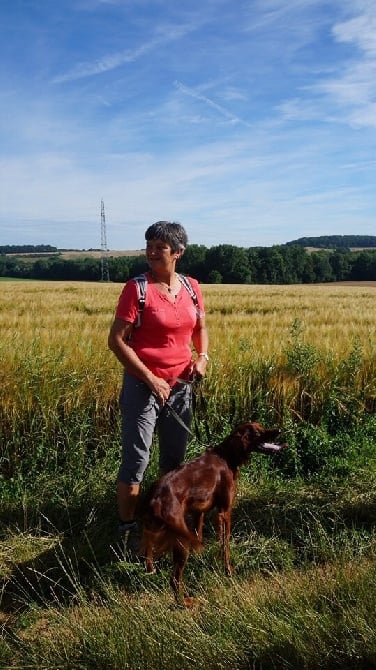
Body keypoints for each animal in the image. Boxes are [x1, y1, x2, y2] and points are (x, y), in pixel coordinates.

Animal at [141, 422, 284, 608]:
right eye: (257, 431)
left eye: (261, 426)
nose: (278, 431)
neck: (227, 456)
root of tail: (155, 498)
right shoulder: (224, 511)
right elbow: (225, 545)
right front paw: (228, 571)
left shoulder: (198, 511)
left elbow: (199, 535)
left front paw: (200, 556)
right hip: (181, 539)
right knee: (174, 579)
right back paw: (185, 602)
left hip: (154, 531)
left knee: (150, 554)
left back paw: (152, 570)